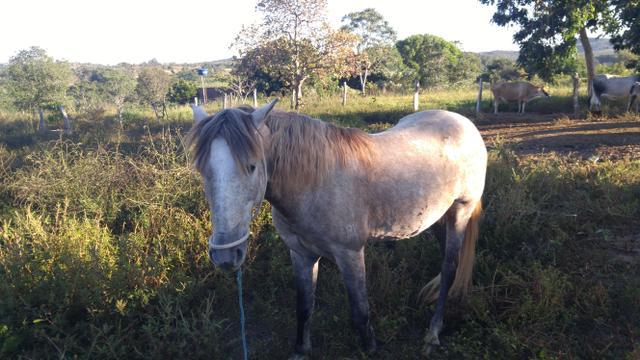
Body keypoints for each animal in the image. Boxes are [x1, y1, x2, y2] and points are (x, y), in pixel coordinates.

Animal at [188, 101, 488, 358]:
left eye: (251, 166)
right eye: (203, 171)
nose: (226, 256)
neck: (313, 183)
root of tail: (465, 124)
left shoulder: (350, 254)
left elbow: (360, 311)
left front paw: (371, 350)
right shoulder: (300, 254)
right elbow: (304, 306)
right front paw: (301, 351)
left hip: (460, 211)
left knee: (449, 268)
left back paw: (433, 334)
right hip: (438, 218)